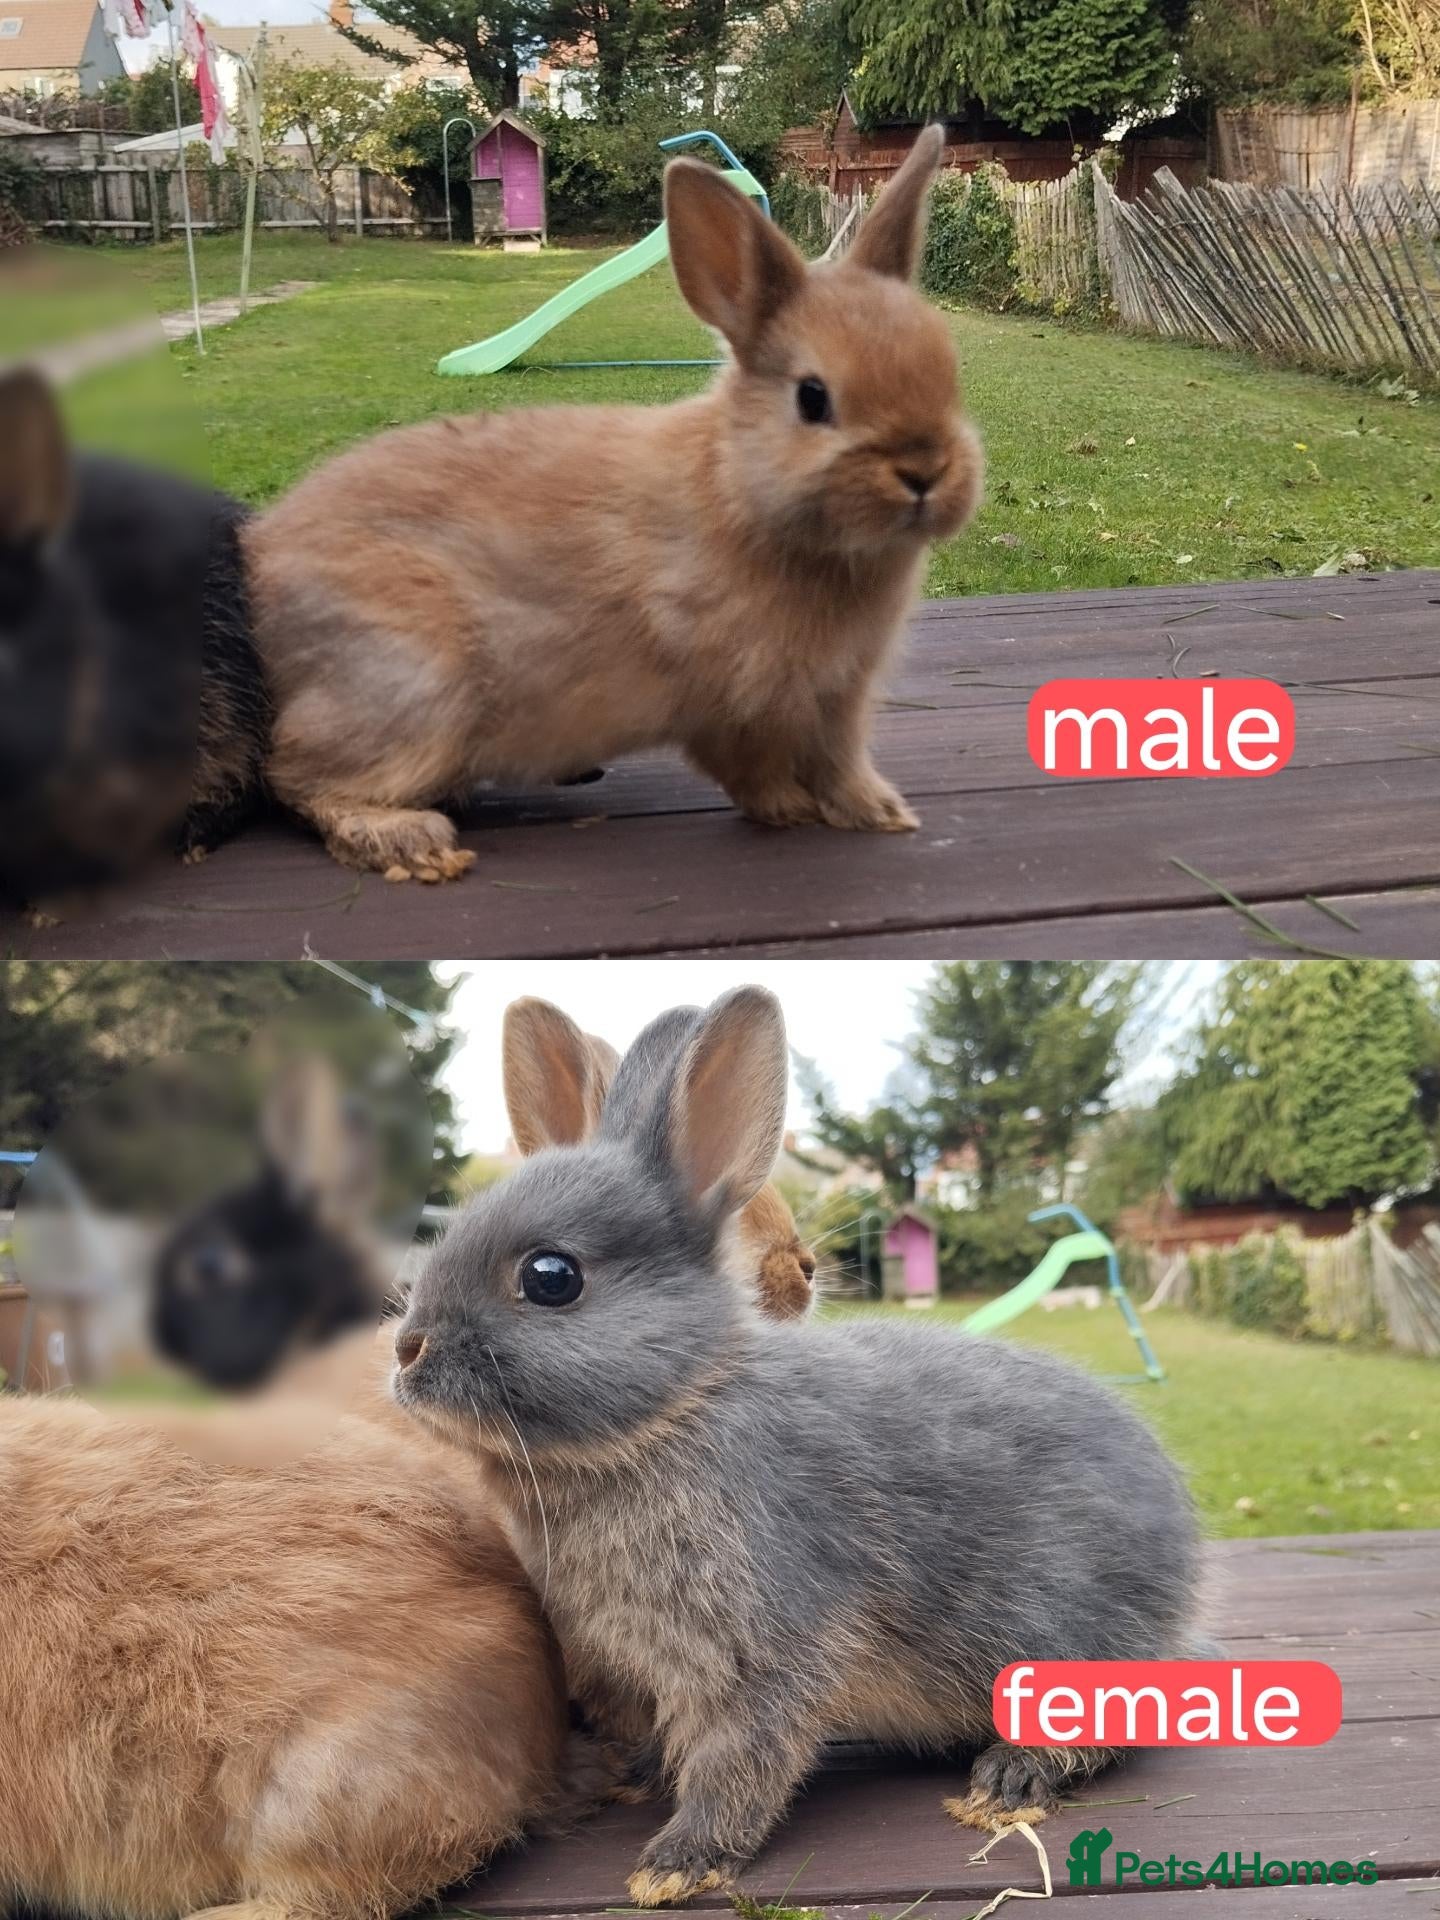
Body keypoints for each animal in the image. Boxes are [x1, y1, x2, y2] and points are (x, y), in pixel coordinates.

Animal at [242, 126, 983, 883]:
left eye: (948, 372)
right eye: (813, 399)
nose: (925, 471)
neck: (739, 488)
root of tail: (259, 566)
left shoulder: (841, 697)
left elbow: (840, 763)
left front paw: (880, 812)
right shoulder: (734, 699)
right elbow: (751, 767)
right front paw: (788, 810)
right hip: (414, 684)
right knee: (296, 776)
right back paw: (409, 840)